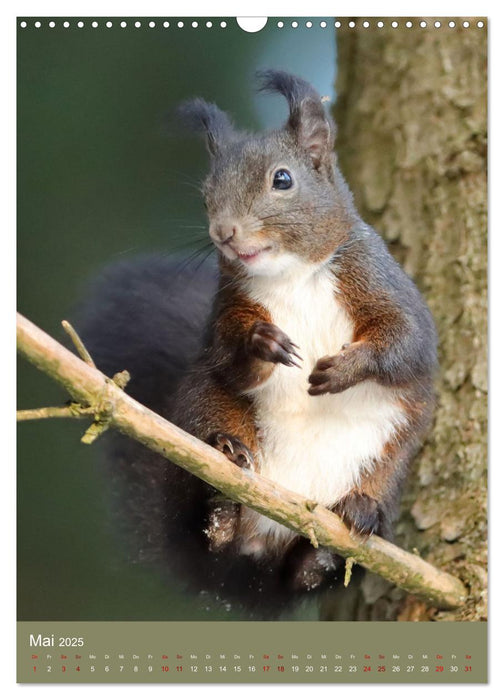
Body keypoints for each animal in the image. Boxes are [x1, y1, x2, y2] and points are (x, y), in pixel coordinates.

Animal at [78, 71, 438, 616]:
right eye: (207, 193)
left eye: (282, 180)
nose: (223, 232)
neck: (291, 275)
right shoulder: (227, 308)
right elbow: (231, 361)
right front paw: (259, 342)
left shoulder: (383, 284)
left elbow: (405, 343)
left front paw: (345, 369)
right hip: (205, 410)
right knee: (205, 517)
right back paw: (222, 501)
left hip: (387, 458)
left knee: (304, 571)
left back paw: (337, 540)